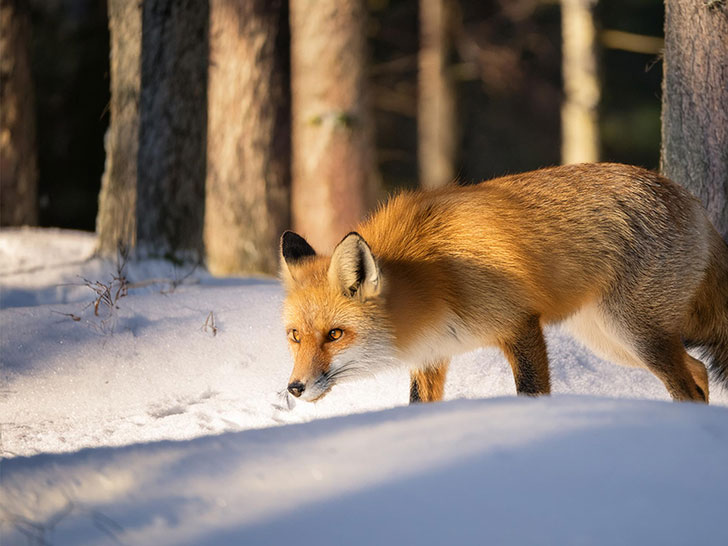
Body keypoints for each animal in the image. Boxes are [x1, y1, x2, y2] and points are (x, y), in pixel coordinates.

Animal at [278, 162, 728, 404]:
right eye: (295, 336)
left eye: (335, 334)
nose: (294, 388)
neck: (434, 280)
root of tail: (686, 197)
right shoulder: (432, 354)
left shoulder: (520, 324)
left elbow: (531, 393)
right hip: (611, 341)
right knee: (699, 370)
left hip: (636, 334)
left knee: (687, 385)